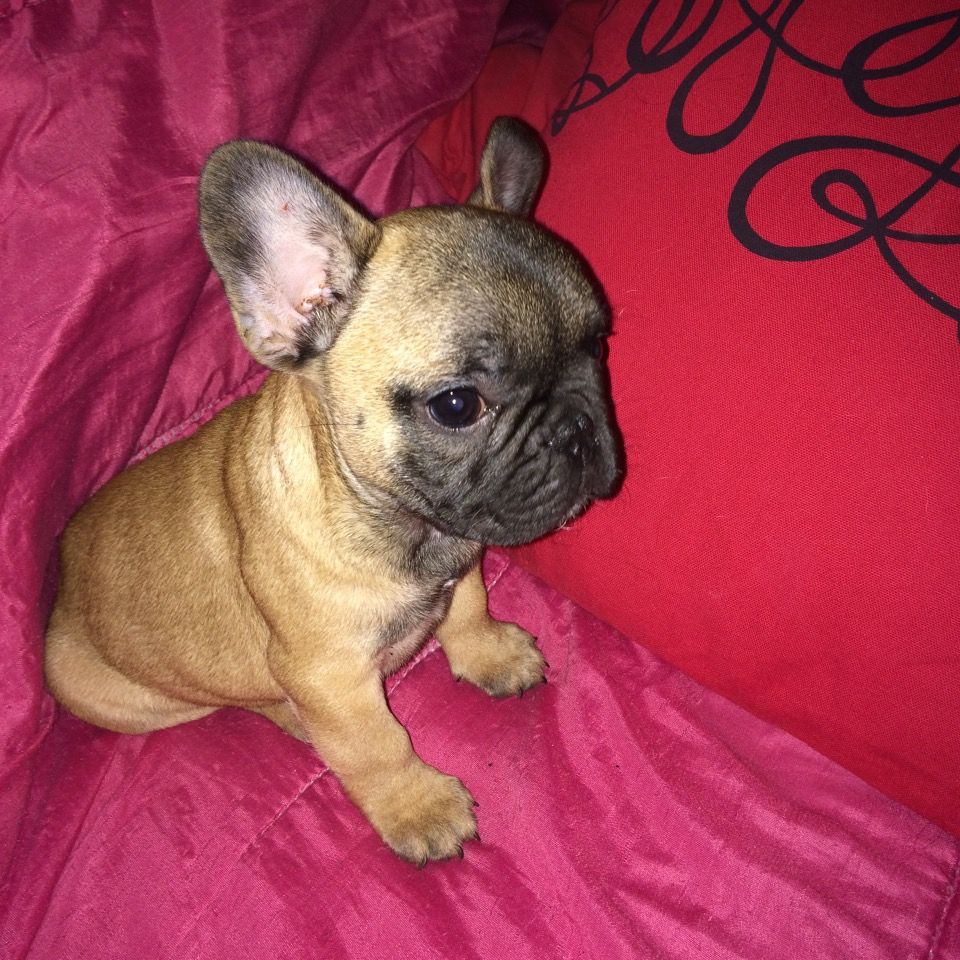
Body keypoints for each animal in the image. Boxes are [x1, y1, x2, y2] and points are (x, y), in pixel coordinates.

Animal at [45, 117, 620, 864]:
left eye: (599, 345)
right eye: (457, 405)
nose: (577, 428)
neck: (405, 526)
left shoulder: (461, 556)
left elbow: (467, 608)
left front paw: (489, 652)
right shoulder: (331, 676)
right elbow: (376, 745)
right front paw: (417, 807)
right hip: (116, 694)